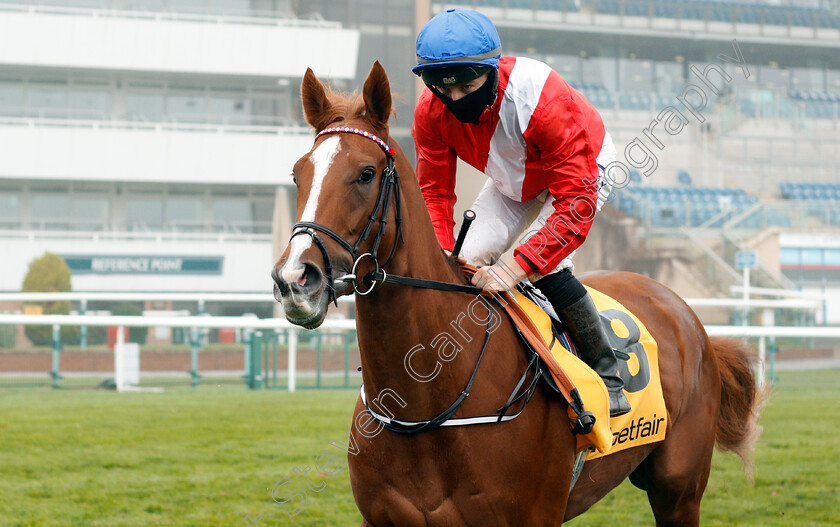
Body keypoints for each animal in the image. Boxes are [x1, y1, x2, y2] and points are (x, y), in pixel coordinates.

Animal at [272, 63, 764, 527]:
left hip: (678, 491)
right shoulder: (379, 517)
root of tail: (682, 310)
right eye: (297, 174)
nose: (295, 278)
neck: (429, 402)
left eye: (367, 173)